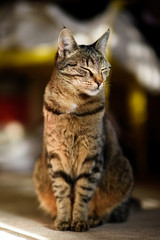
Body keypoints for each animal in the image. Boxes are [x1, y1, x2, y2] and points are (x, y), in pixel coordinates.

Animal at [32, 27, 134, 232]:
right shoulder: (56, 156)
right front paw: (63, 219)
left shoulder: (91, 157)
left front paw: (79, 220)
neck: (74, 104)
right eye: (86, 69)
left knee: (114, 211)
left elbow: (82, 194)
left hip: (124, 172)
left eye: (104, 69)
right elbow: (62, 192)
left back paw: (95, 218)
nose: (100, 82)